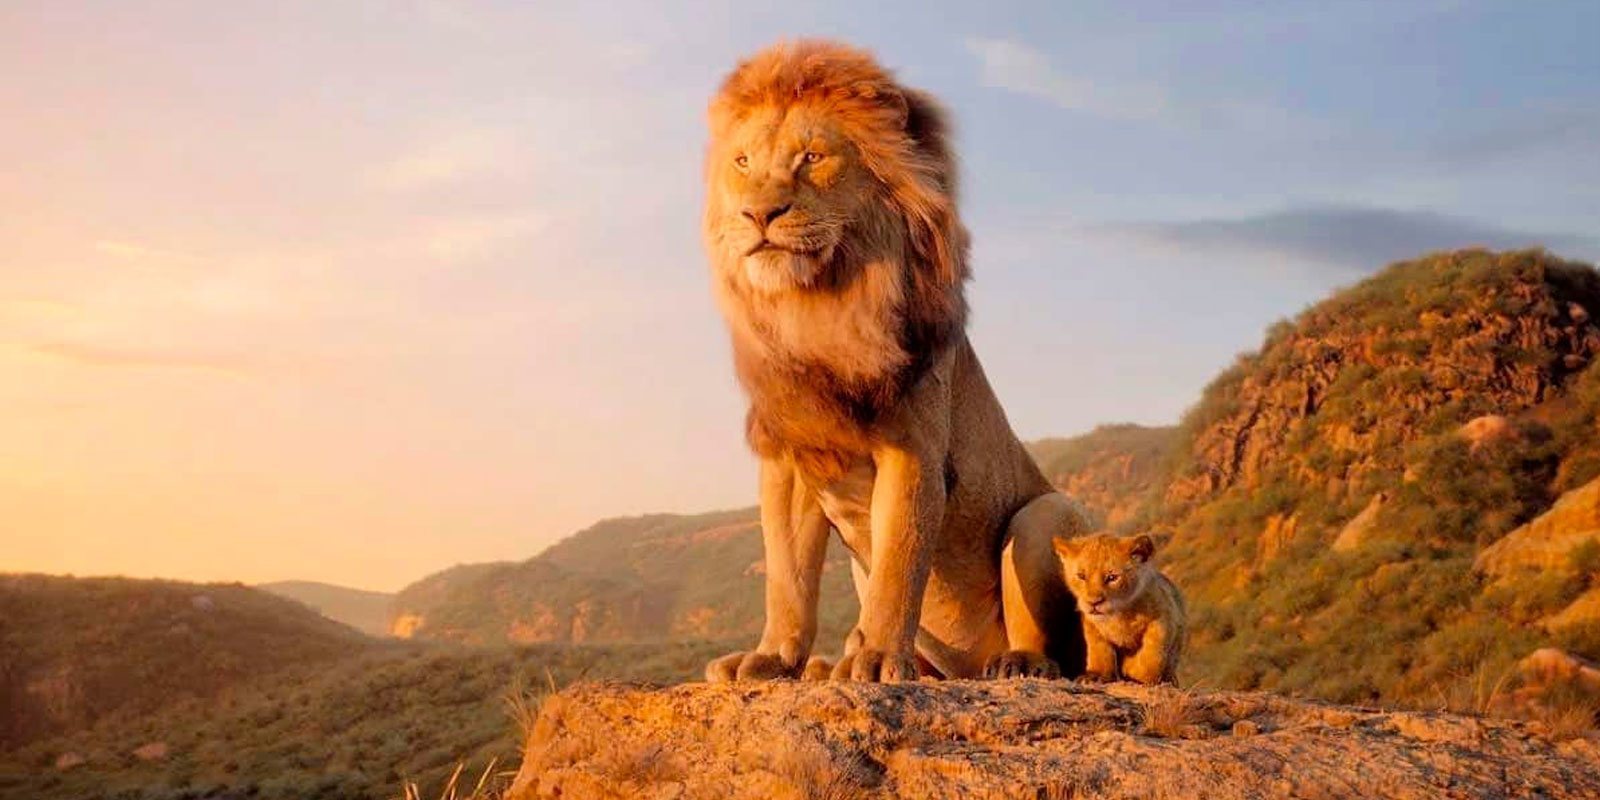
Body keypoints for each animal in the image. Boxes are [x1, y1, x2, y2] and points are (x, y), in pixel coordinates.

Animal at [700, 40, 1090, 682]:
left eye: (812, 157)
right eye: (742, 162)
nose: (759, 215)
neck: (819, 309)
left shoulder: (913, 452)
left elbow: (898, 565)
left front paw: (881, 658)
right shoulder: (790, 457)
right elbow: (787, 576)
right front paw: (773, 658)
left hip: (1045, 514)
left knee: (1052, 644)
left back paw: (1015, 663)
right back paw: (828, 664)